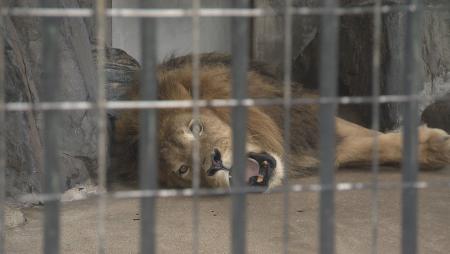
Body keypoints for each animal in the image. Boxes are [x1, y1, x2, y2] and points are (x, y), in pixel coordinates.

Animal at [110, 52, 450, 190]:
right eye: (182, 170)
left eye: (196, 127)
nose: (214, 163)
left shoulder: (305, 122)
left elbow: (371, 138)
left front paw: (435, 146)